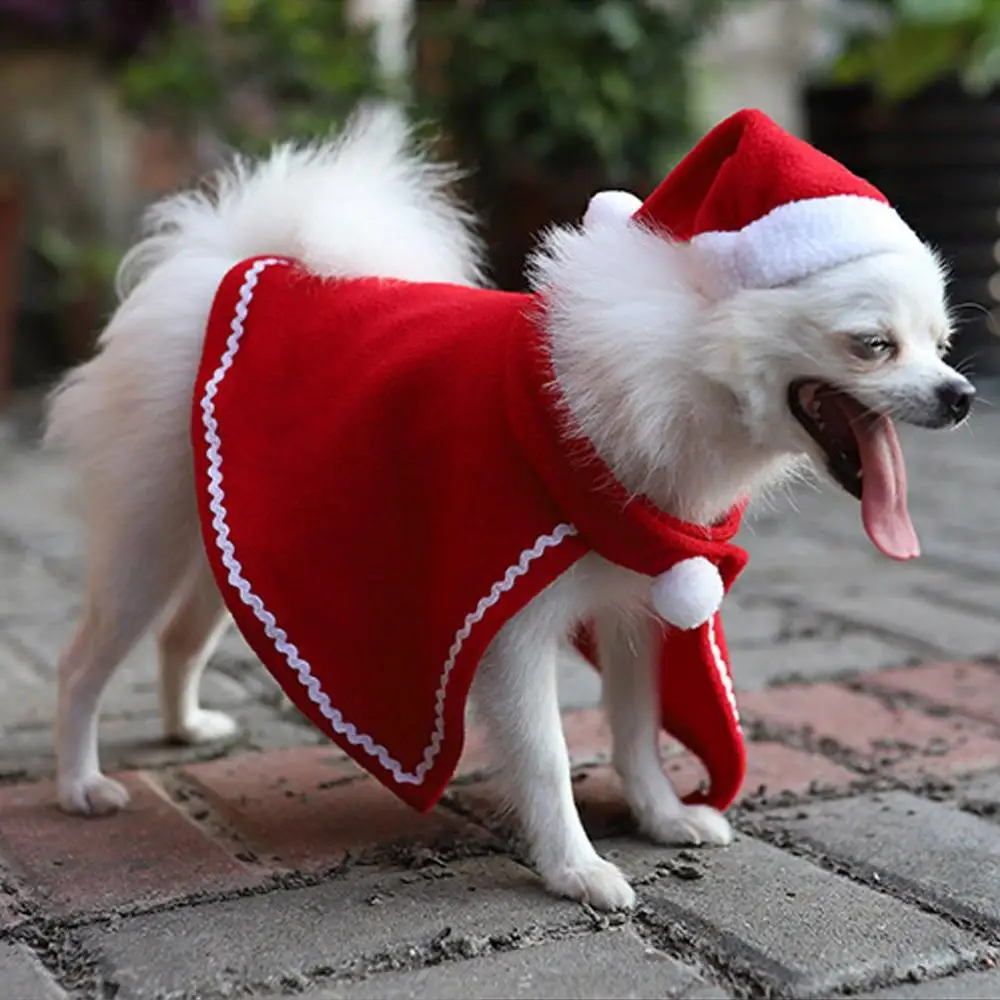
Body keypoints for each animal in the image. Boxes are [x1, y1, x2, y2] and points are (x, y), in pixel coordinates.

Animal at [45, 105, 968, 912]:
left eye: (944, 344)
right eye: (873, 344)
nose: (961, 395)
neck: (662, 371)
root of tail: (234, 263)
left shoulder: (638, 608)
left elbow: (636, 730)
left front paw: (662, 817)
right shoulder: (506, 626)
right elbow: (547, 757)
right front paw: (576, 871)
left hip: (219, 533)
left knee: (178, 638)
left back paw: (184, 728)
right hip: (147, 541)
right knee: (84, 663)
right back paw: (79, 783)